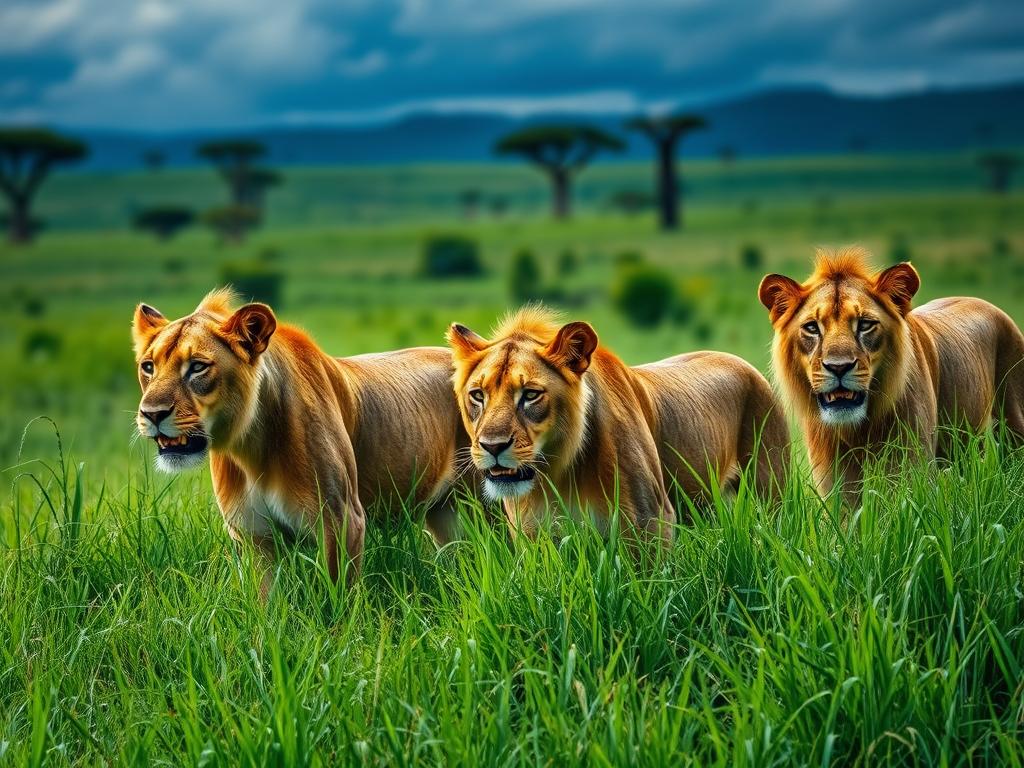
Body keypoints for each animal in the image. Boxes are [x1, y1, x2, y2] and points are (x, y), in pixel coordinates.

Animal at [132, 289, 466, 592]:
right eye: (148, 367)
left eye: (198, 366)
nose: (151, 414)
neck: (251, 450)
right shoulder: (255, 535)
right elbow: (265, 606)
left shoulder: (341, 520)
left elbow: (336, 603)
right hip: (444, 514)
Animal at [447, 306, 790, 543]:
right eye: (478, 395)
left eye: (530, 394)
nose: (492, 447)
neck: (558, 472)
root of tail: (740, 360)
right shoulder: (531, 532)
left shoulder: (649, 519)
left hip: (771, 488)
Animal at [758, 246, 1024, 500]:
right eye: (812, 327)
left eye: (865, 324)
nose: (838, 367)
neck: (859, 429)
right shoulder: (833, 477)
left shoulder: (910, 464)